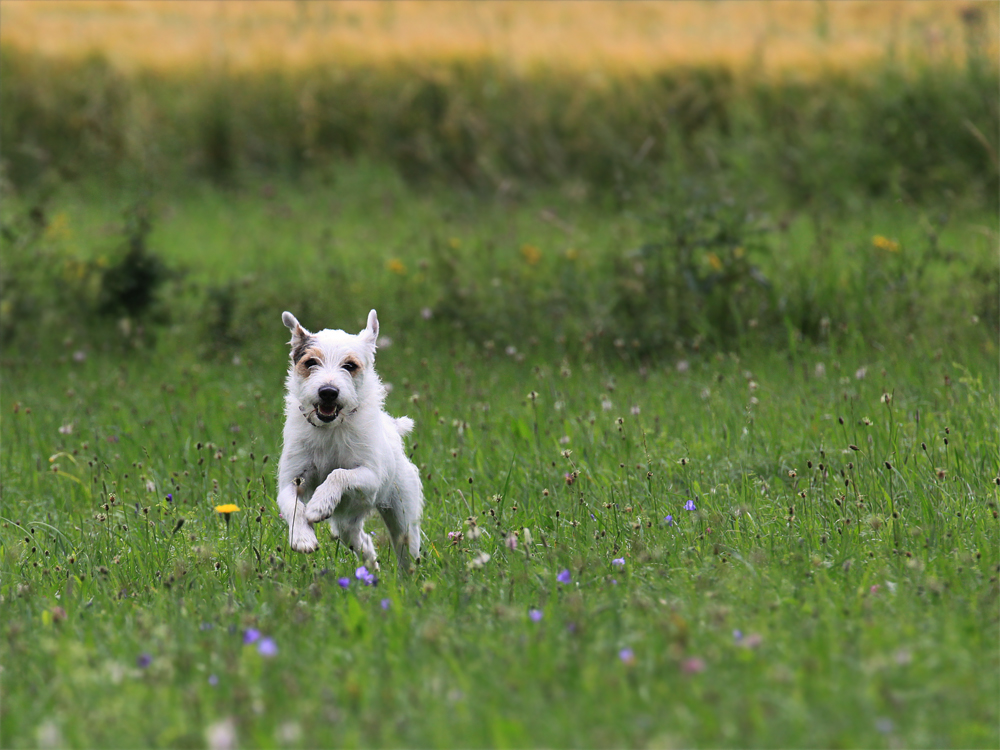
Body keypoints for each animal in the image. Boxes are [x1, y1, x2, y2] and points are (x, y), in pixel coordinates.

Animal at [276, 308, 424, 572]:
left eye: (350, 365)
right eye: (310, 362)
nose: (328, 391)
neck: (330, 428)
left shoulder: (371, 477)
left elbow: (339, 474)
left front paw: (319, 504)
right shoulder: (292, 480)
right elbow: (292, 504)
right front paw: (302, 537)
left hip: (403, 515)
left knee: (406, 549)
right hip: (346, 525)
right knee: (362, 540)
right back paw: (370, 571)